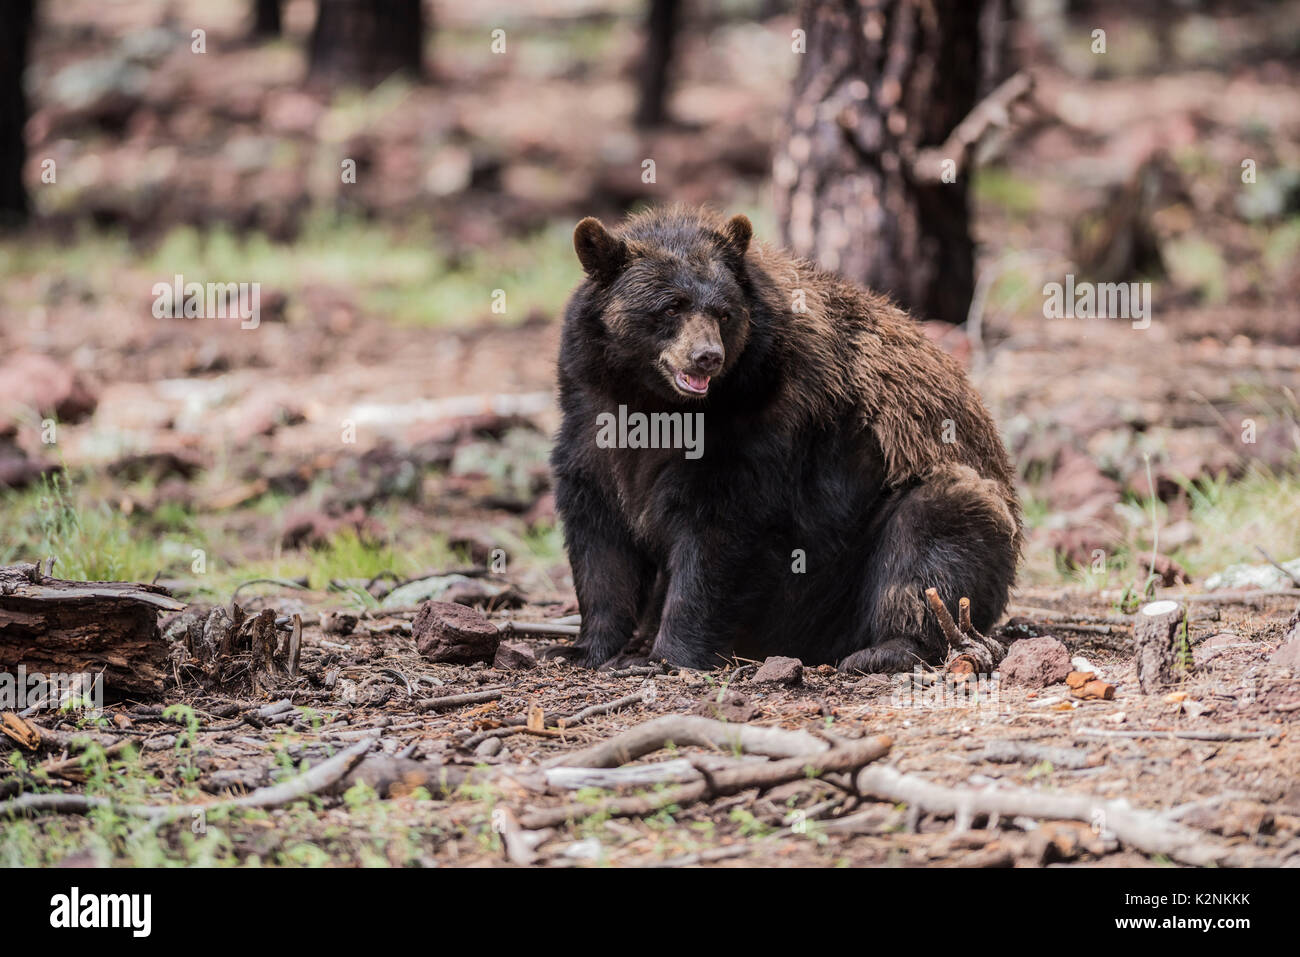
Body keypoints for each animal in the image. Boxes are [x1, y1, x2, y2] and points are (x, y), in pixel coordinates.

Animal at [543, 205, 1019, 670]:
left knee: (932, 536)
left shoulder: (767, 428)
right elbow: (600, 541)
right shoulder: (592, 423)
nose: (707, 357)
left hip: (868, 543)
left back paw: (886, 648)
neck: (656, 404)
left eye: (724, 312)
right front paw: (584, 648)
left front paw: (668, 655)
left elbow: (720, 534)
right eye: (670, 307)